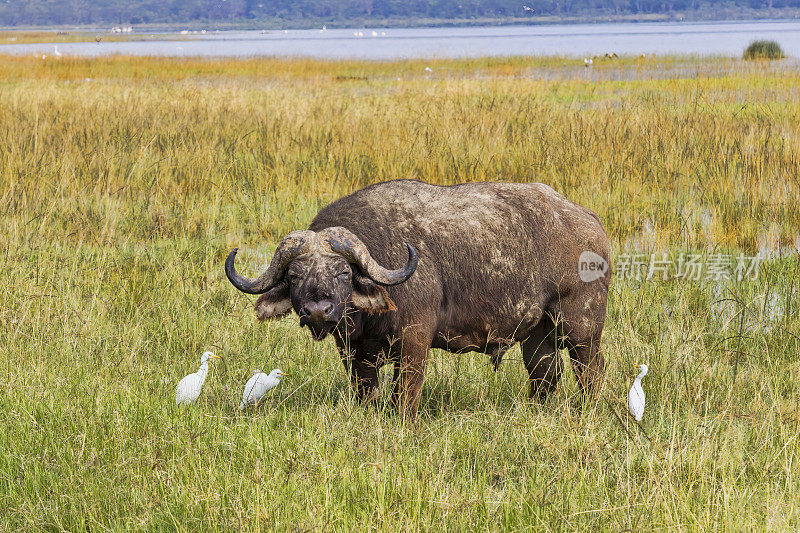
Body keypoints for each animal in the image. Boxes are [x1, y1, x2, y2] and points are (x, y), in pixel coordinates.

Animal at [225, 179, 612, 416]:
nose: (319, 309)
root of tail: (589, 221)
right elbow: (366, 391)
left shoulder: (414, 340)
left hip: (581, 325)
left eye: (343, 272)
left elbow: (406, 393)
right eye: (294, 275)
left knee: (590, 370)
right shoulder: (353, 351)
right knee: (545, 373)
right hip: (536, 332)